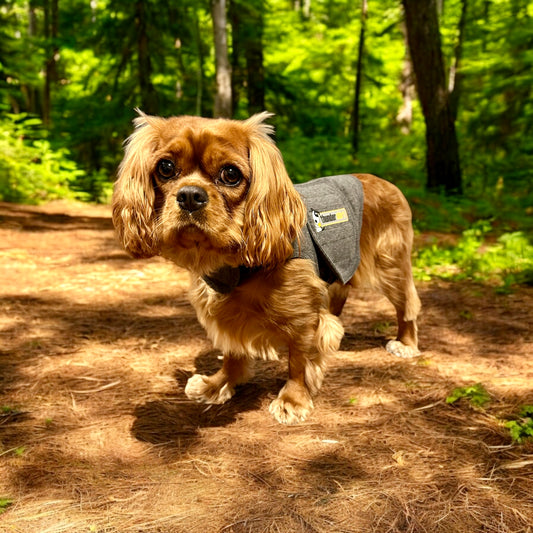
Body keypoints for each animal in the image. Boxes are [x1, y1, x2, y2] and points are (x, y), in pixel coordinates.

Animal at [111, 111, 420, 424]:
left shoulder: (303, 318)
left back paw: (405, 343)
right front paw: (218, 384)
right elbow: (233, 352)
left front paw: (293, 400)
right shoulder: (226, 312)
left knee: (406, 307)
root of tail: (387, 183)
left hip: (391, 267)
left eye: (230, 174)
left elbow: (298, 360)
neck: (233, 263)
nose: (189, 196)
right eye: (166, 167)